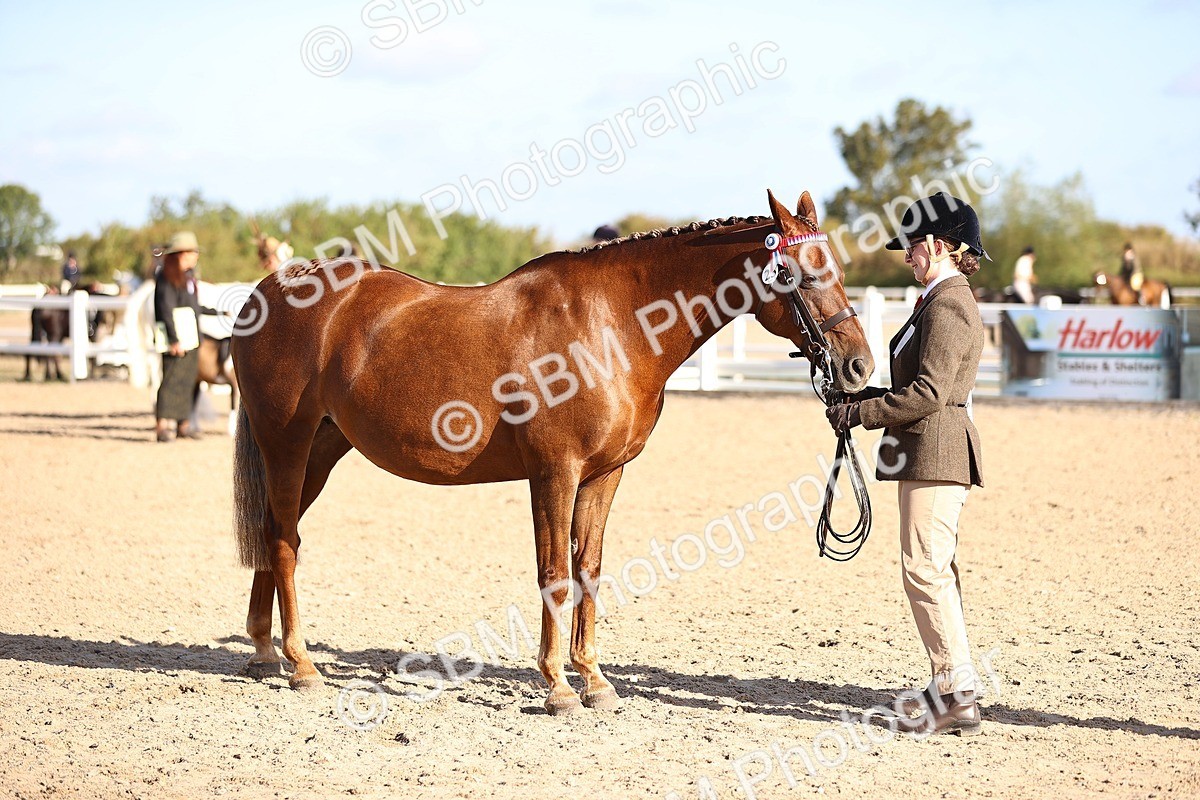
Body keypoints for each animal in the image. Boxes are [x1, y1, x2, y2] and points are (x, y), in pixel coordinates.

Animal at [230, 190, 874, 714]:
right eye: (798, 273)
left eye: (838, 269)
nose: (858, 366)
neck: (612, 326)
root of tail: (266, 293)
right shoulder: (553, 473)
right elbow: (556, 577)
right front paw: (559, 687)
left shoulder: (604, 475)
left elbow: (589, 571)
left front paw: (594, 680)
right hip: (286, 444)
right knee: (284, 544)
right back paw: (302, 665)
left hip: (321, 451)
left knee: (272, 532)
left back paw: (264, 653)